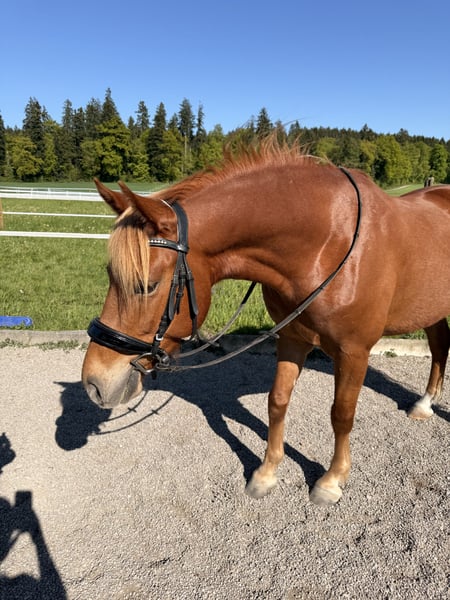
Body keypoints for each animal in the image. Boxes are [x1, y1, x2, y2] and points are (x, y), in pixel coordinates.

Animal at [82, 141, 450, 506]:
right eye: (109, 275)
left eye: (147, 285)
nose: (94, 385)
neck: (329, 243)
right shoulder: (291, 338)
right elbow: (277, 401)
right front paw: (266, 472)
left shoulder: (354, 351)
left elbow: (341, 414)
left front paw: (332, 480)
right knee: (439, 343)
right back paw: (424, 403)